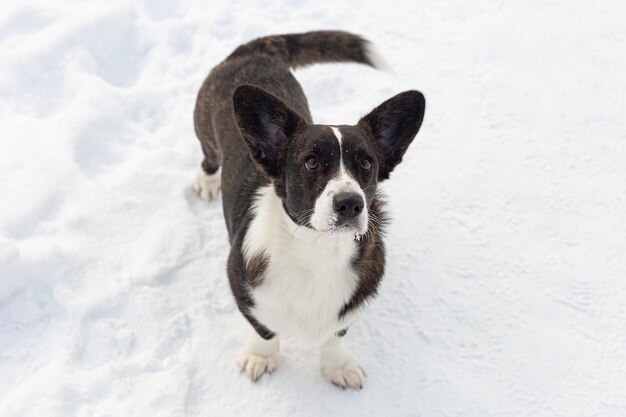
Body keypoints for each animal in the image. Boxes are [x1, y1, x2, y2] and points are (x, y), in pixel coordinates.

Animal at [190, 30, 424, 388]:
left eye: (366, 164)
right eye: (311, 162)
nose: (350, 204)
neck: (318, 251)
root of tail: (254, 52)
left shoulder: (352, 302)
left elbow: (335, 334)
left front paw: (338, 365)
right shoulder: (242, 288)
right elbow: (264, 328)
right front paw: (261, 357)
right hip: (206, 136)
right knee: (208, 156)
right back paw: (206, 180)